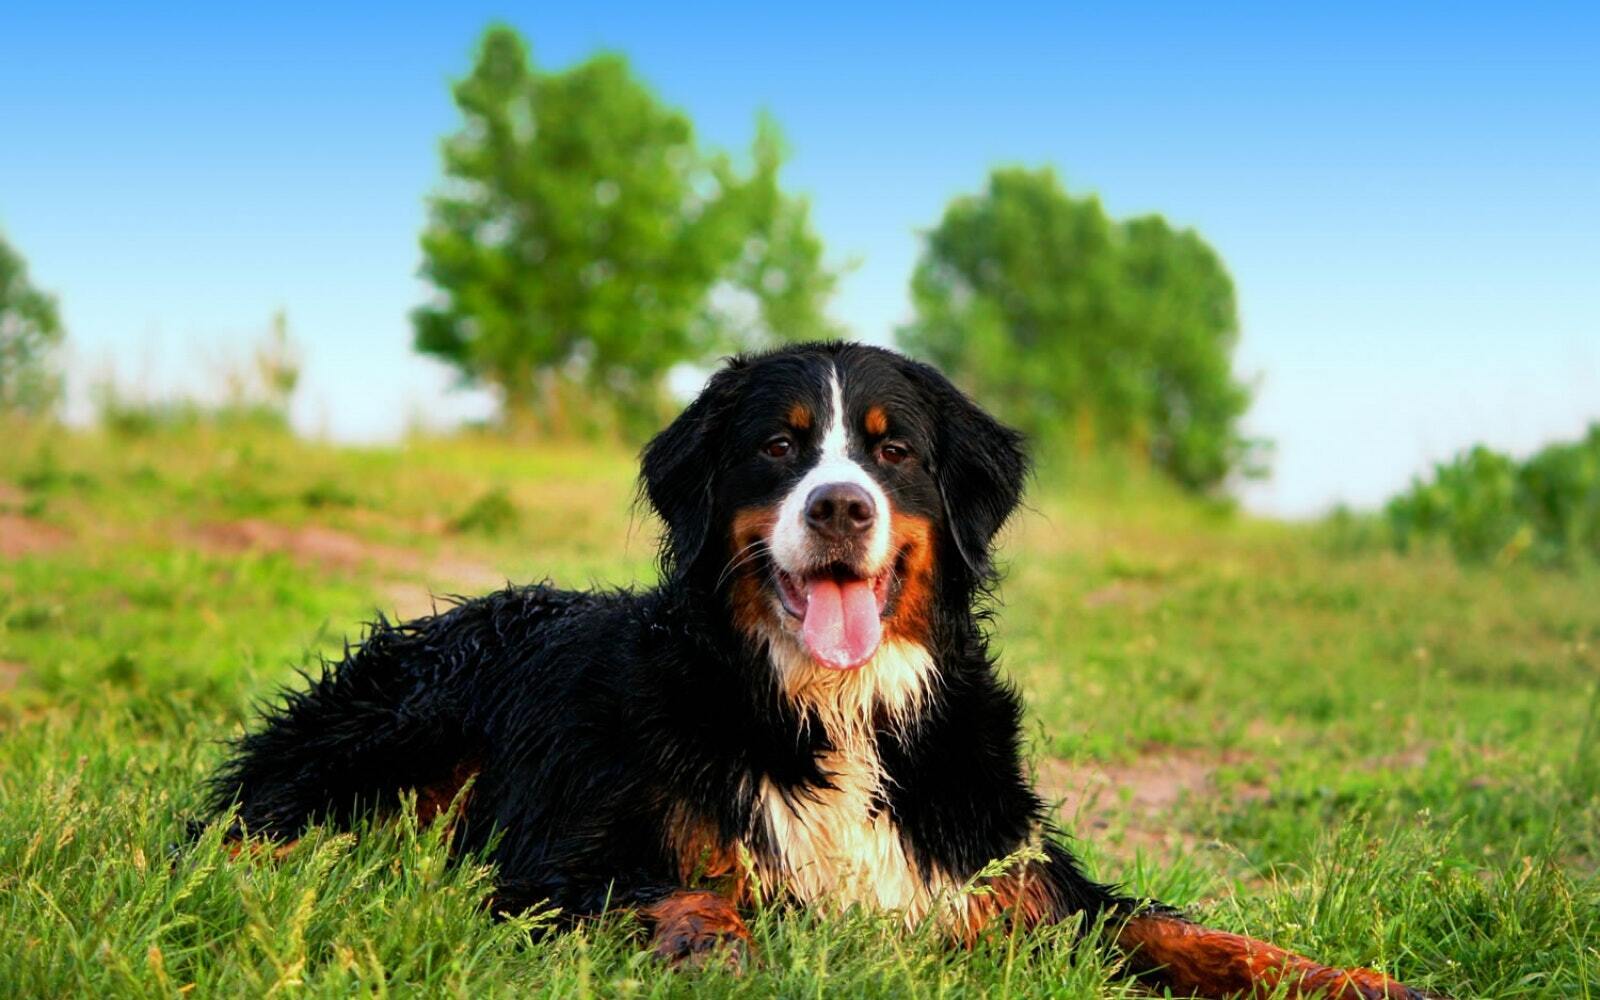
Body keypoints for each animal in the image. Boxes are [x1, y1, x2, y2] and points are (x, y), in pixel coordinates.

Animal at [206, 339, 1433, 992]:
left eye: (893, 450)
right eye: (779, 444)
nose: (840, 505)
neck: (835, 708)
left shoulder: (1009, 875)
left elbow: (1190, 932)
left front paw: (1360, 980)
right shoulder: (556, 860)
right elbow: (688, 898)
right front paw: (730, 960)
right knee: (253, 825)